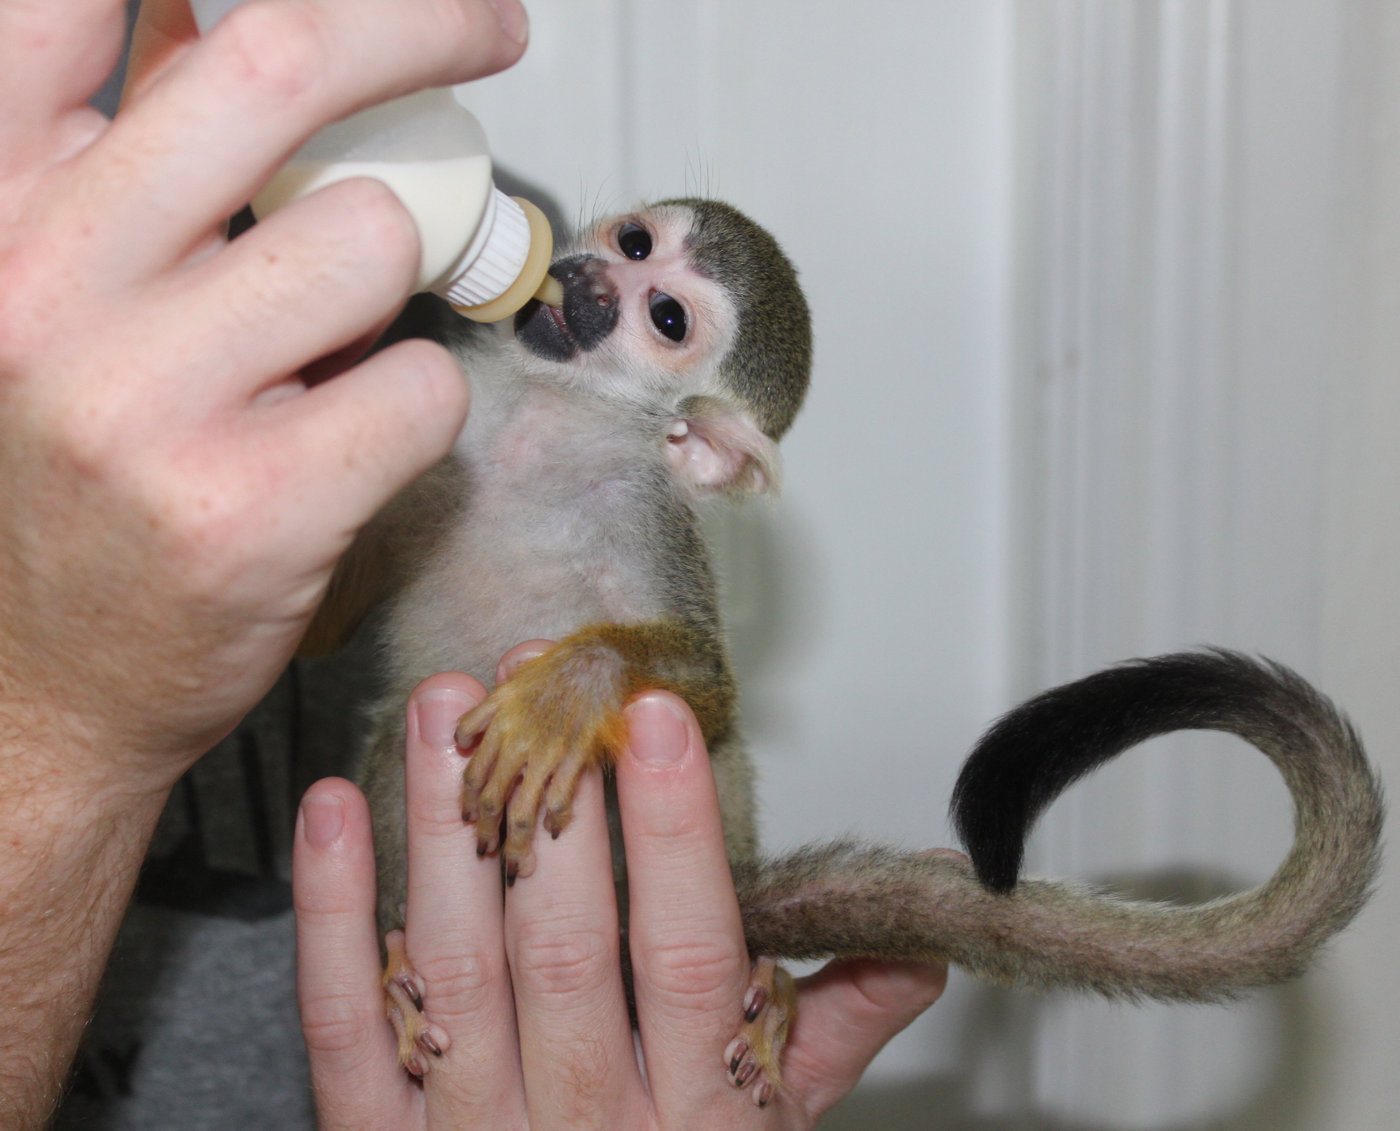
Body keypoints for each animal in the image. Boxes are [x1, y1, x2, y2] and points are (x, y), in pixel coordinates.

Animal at [311, 198, 1384, 1108]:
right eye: (634, 241)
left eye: (665, 318)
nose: (581, 281)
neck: (549, 428)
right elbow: (322, 620)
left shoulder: (651, 520)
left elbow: (713, 695)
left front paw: (573, 690)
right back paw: (394, 961)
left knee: (716, 751)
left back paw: (763, 976)